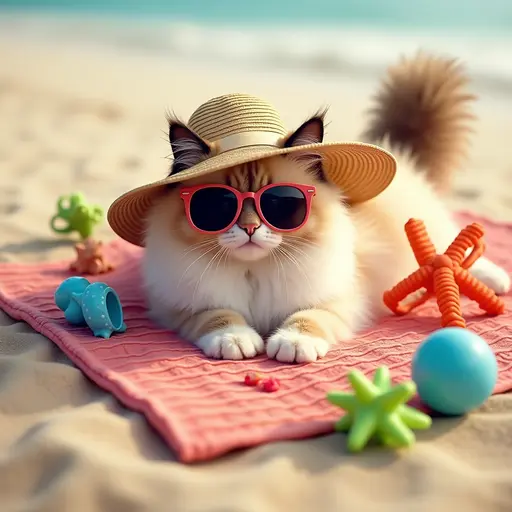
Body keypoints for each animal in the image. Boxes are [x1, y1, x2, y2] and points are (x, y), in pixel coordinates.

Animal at [142, 53, 510, 364]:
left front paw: (292, 343)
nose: (249, 229)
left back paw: (496, 281)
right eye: (219, 205)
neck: (255, 271)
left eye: (279, 203)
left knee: (456, 251)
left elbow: (308, 317)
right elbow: (218, 317)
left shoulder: (340, 299)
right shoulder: (180, 307)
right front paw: (234, 339)